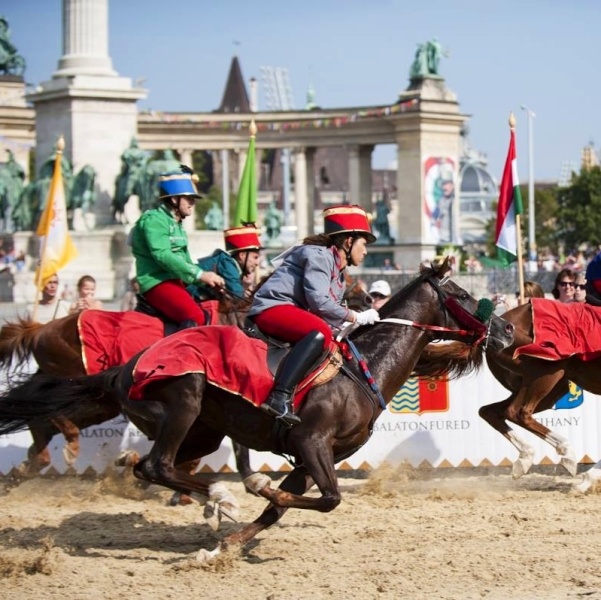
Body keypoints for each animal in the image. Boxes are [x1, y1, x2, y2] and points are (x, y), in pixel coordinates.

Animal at [0, 258, 512, 564]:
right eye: (462, 295)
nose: (507, 328)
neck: (361, 369)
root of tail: (126, 367)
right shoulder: (311, 441)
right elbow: (327, 499)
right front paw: (256, 488)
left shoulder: (318, 455)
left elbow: (282, 508)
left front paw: (227, 543)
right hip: (183, 401)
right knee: (156, 464)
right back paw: (219, 496)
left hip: (200, 429)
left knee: (148, 466)